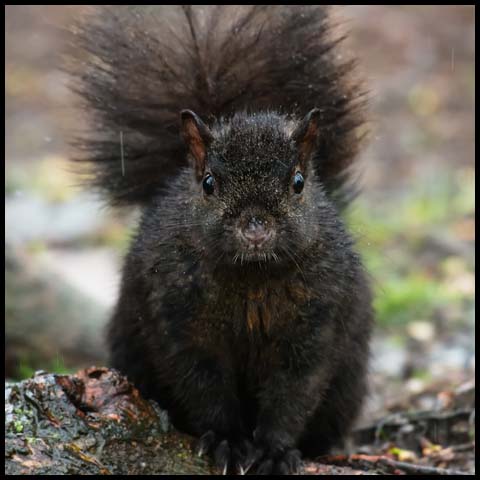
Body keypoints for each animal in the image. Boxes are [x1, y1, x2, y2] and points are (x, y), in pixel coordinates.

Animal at [69, 4, 374, 476]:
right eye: (209, 183)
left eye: (299, 182)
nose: (255, 228)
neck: (252, 279)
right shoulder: (181, 320)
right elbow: (204, 386)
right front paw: (228, 442)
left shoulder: (315, 325)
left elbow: (293, 395)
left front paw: (274, 451)